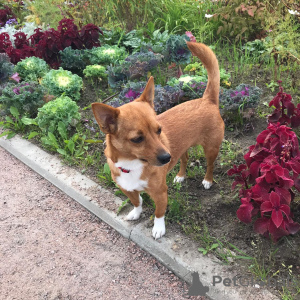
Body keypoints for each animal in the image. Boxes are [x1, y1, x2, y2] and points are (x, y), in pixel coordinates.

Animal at [92, 41, 224, 239]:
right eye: (137, 139)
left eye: (159, 130)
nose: (166, 158)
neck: (132, 165)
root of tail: (207, 99)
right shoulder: (127, 189)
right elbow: (137, 201)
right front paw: (136, 213)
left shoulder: (160, 193)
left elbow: (159, 212)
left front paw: (158, 228)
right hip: (182, 148)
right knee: (185, 158)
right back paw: (180, 176)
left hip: (210, 149)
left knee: (210, 165)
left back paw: (207, 180)